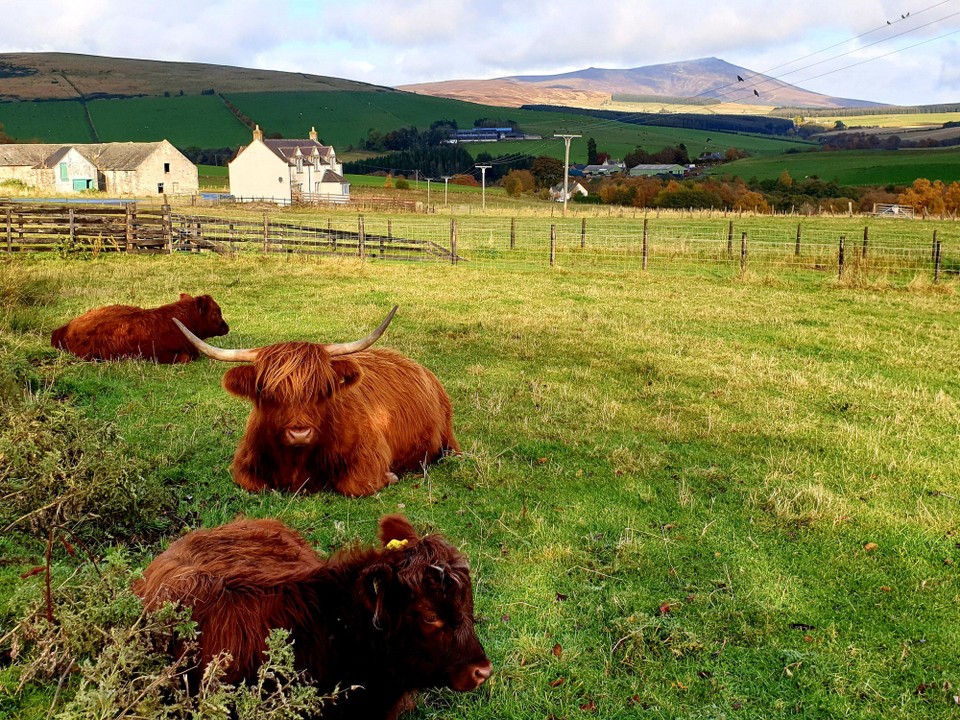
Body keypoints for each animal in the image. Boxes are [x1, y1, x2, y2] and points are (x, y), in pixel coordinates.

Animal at [175, 306, 462, 498]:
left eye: (322, 390)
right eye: (267, 391)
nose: (300, 433)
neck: (296, 463)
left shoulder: (370, 457)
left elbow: (354, 485)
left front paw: (390, 476)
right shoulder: (243, 466)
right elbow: (254, 483)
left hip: (448, 440)